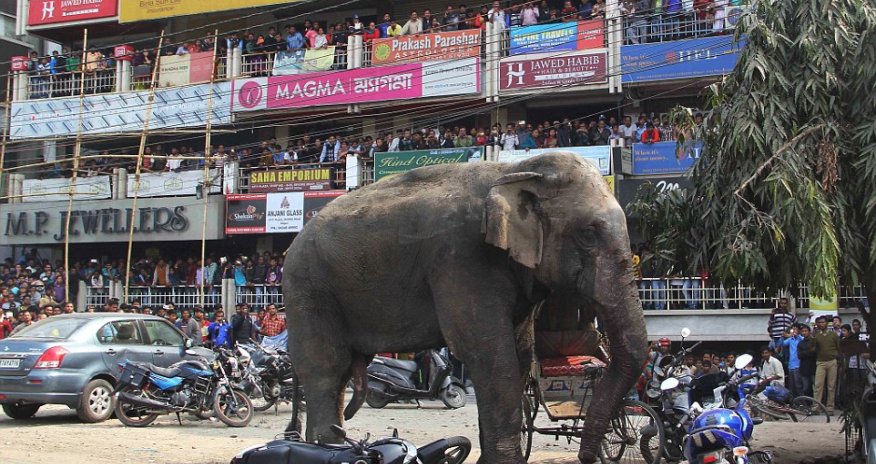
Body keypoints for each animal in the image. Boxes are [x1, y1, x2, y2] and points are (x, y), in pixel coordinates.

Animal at [282, 152, 648, 463]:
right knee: (326, 370)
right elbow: (488, 354)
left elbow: (518, 354)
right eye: (588, 234)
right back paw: (327, 446)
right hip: (307, 288)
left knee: (341, 373)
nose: (587, 455)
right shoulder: (460, 258)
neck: (514, 172)